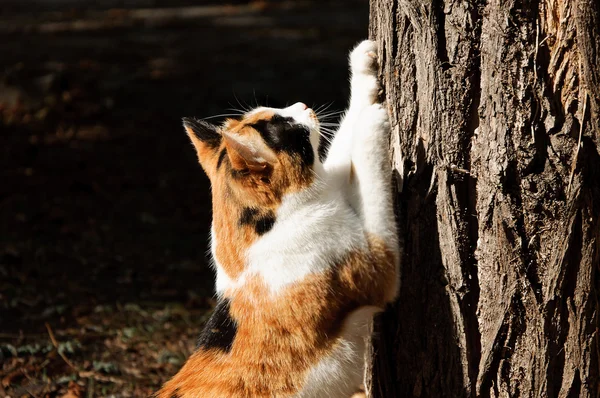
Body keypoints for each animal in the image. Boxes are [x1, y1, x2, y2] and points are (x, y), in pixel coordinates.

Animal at [156, 39, 398, 398]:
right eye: (287, 126)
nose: (302, 103)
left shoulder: (331, 183)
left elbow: (344, 143)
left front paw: (363, 64)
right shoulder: (378, 266)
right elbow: (368, 165)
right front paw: (374, 118)